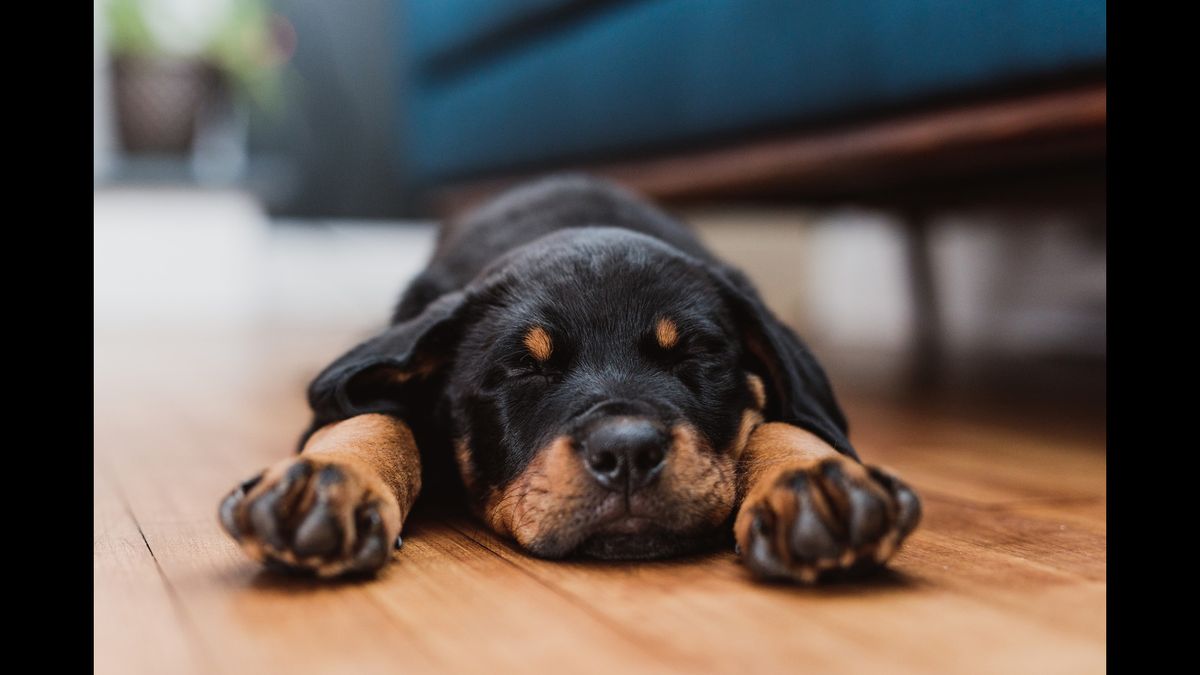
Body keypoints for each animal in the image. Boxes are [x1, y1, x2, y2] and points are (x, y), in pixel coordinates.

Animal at [220, 174, 921, 583]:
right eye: (524, 367)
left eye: (694, 356)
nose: (628, 453)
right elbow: (372, 415)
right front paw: (323, 483)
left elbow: (782, 422)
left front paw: (817, 483)